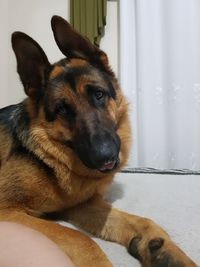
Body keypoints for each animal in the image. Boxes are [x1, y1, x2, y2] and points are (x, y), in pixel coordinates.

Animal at [0, 16, 197, 267]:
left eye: (99, 94)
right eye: (62, 109)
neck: (53, 161)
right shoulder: (7, 212)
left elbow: (143, 222)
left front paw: (166, 252)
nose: (105, 157)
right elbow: (80, 238)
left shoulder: (82, 204)